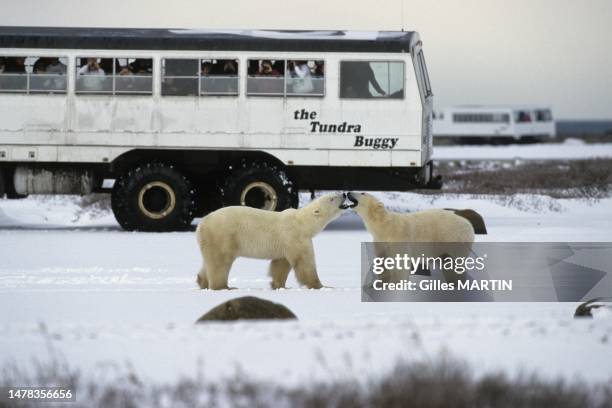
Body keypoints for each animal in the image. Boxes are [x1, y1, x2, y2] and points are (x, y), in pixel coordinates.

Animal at [196, 192, 350, 290]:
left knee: (209, 261)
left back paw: (202, 282)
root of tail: (202, 224)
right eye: (332, 198)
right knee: (220, 262)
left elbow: (281, 264)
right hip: (223, 235)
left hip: (211, 239)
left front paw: (279, 285)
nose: (344, 194)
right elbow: (304, 263)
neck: (302, 222)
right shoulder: (295, 236)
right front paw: (322, 286)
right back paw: (224, 287)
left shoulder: (285, 243)